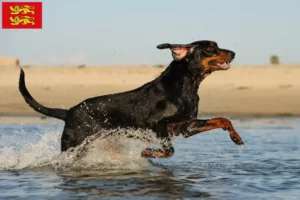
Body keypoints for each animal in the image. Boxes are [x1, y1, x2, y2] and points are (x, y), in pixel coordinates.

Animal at [18, 40, 244, 158]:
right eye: (210, 48)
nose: (233, 53)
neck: (187, 86)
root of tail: (69, 112)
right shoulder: (156, 124)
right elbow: (169, 150)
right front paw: (148, 152)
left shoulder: (187, 126)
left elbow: (223, 119)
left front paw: (236, 137)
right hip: (73, 144)